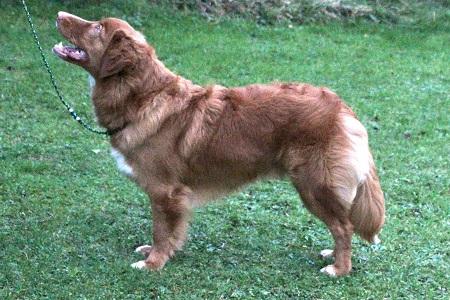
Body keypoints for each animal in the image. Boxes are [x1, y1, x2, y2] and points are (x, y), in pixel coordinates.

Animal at [52, 12, 384, 278]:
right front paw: (157, 253)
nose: (59, 14)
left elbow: (161, 230)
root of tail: (343, 109)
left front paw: (153, 263)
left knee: (344, 227)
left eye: (97, 28)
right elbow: (167, 231)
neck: (144, 97)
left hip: (314, 184)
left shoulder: (164, 191)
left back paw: (339, 268)